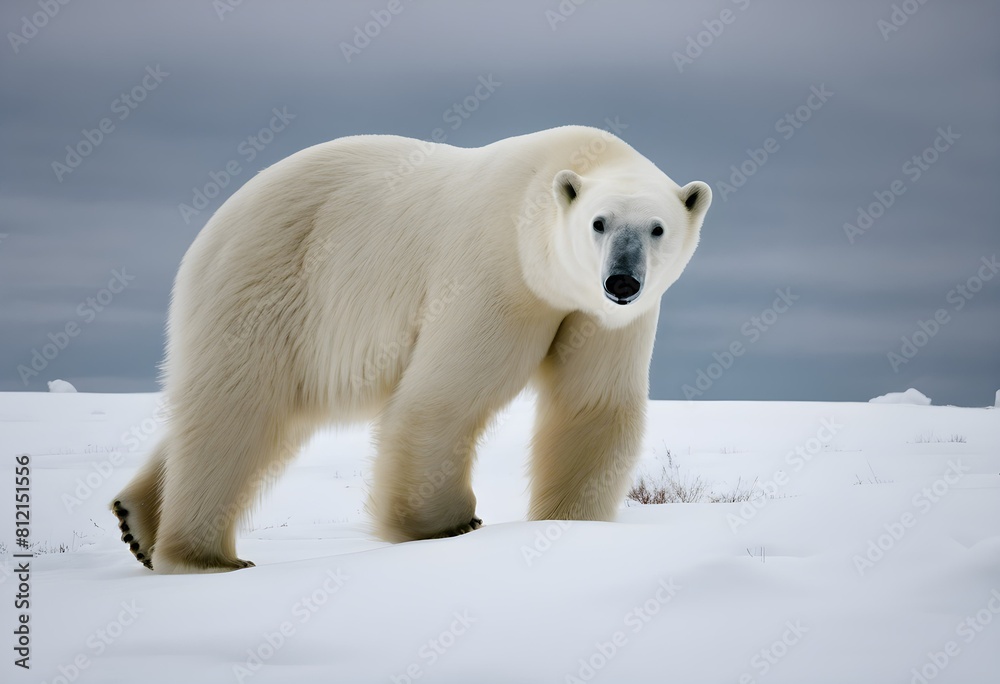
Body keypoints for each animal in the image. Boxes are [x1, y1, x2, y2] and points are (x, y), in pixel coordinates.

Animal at [111, 125, 711, 573]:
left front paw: (568, 523)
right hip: (270, 282)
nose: (622, 280)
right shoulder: (497, 276)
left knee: (269, 414)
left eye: (657, 228)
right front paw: (448, 523)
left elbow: (593, 405)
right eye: (598, 223)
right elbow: (447, 397)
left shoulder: (604, 317)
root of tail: (223, 213)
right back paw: (204, 556)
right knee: (238, 409)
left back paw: (135, 520)